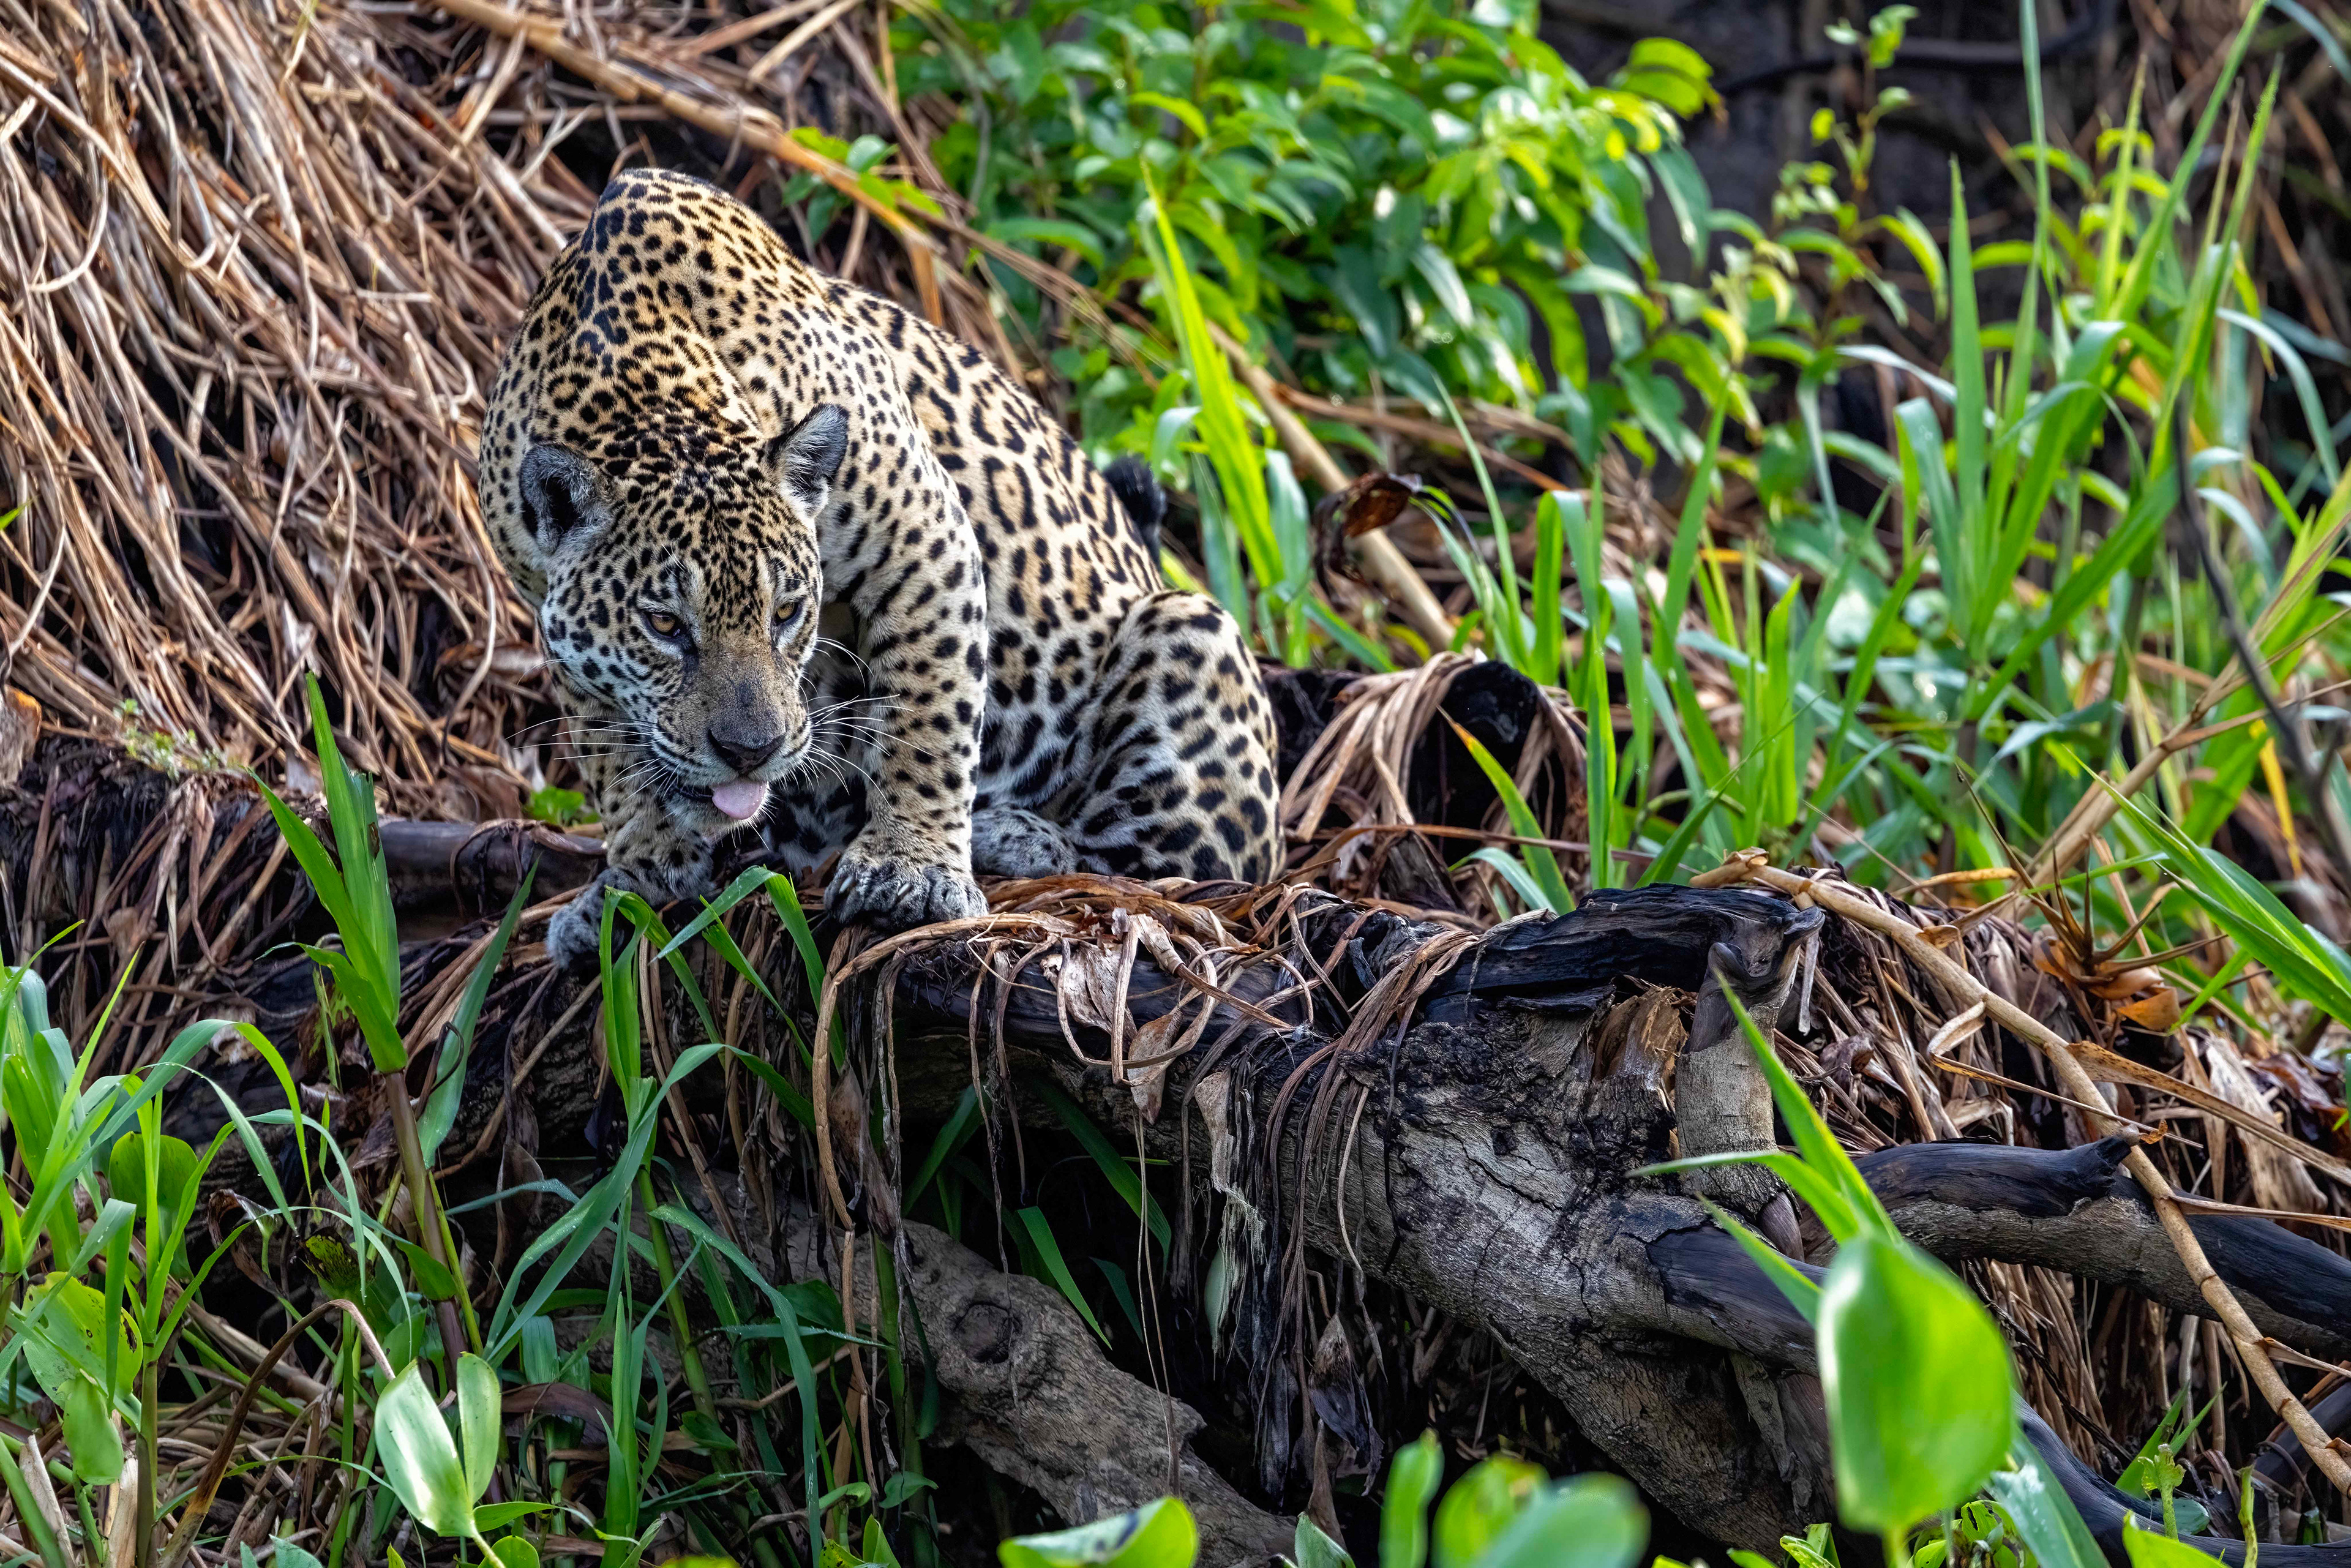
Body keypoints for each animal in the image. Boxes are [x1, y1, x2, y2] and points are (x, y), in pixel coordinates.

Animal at [477, 168, 1283, 969]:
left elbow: (930, 714)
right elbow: (606, 753)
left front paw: (910, 873)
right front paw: (640, 879)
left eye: (788, 612)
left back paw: (1014, 834)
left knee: (1177, 871)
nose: (751, 752)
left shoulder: (925, 537)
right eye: (663, 624)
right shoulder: (543, 602)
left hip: (1192, 633)